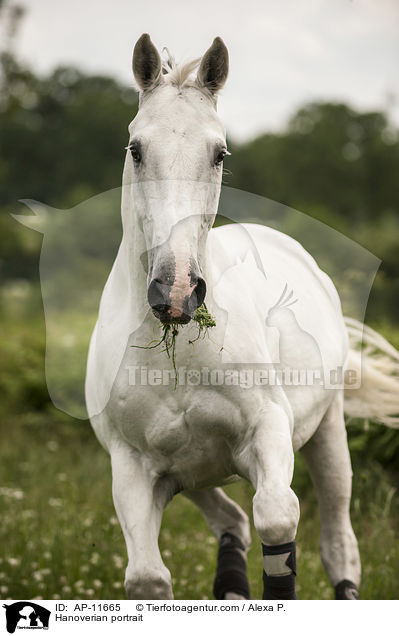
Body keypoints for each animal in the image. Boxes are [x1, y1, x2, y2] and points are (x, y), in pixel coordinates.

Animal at [85, 34, 399, 600]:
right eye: (135, 149)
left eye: (219, 153)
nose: (177, 290)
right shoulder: (133, 469)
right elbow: (147, 577)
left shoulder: (268, 432)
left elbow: (277, 518)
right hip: (193, 477)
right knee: (230, 520)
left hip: (327, 433)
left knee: (337, 542)